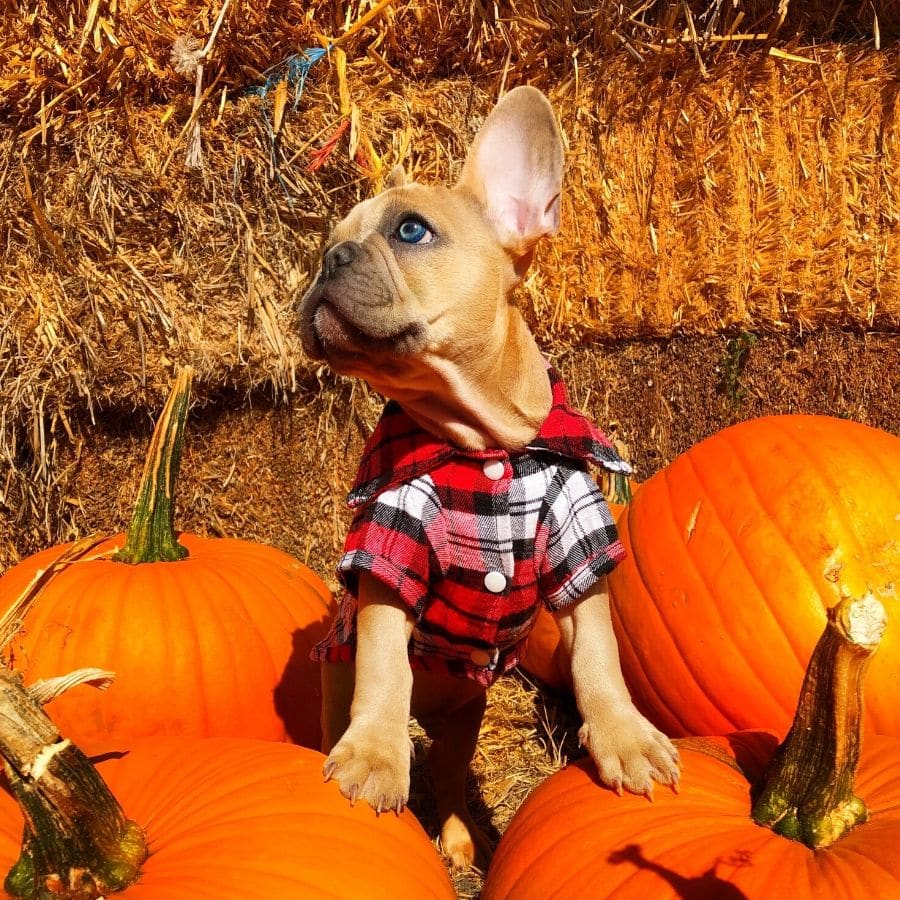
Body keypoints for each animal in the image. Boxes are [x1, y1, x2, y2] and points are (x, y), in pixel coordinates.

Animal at [298, 88, 680, 868]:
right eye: (327, 245)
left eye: (411, 231)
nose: (327, 260)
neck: (481, 442)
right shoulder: (391, 546)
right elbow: (385, 661)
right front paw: (374, 758)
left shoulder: (579, 544)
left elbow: (599, 657)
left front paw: (627, 739)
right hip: (335, 681)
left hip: (465, 718)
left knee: (447, 776)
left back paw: (457, 838)